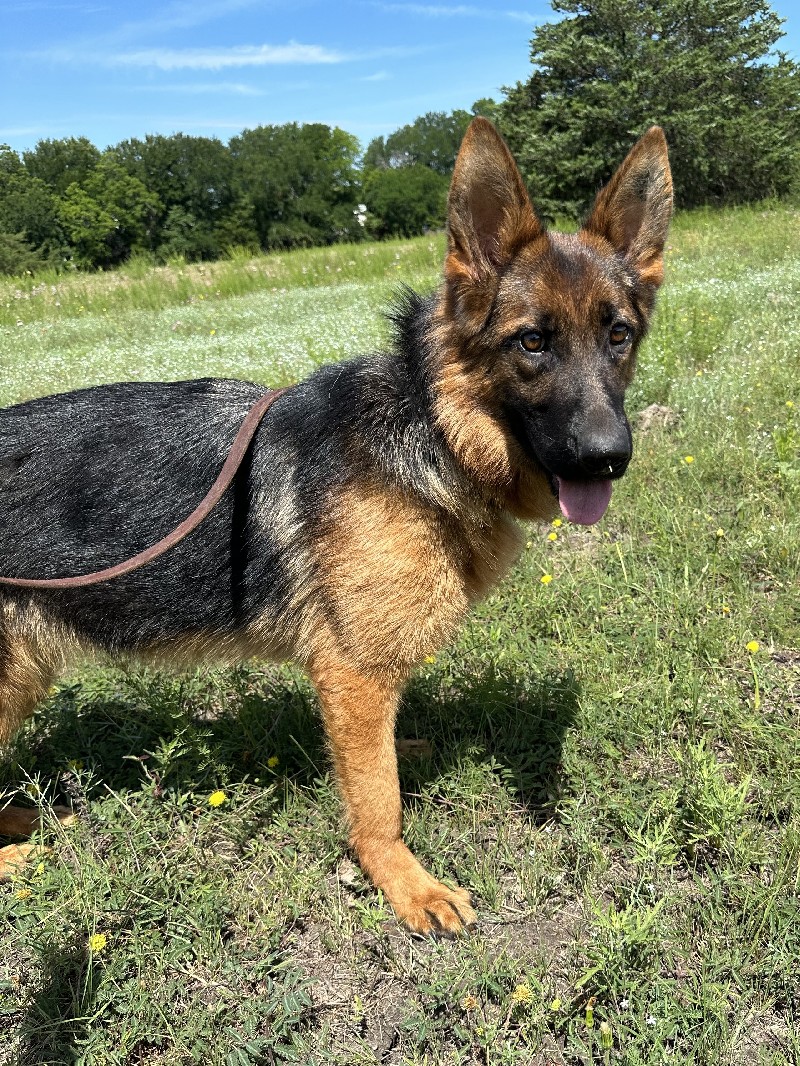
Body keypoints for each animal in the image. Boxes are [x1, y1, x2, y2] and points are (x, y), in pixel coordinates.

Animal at [0, 120, 669, 929]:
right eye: (531, 342)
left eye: (618, 335)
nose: (609, 457)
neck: (432, 428)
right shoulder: (352, 672)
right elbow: (379, 802)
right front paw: (406, 884)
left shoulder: (365, 682)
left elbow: (374, 759)